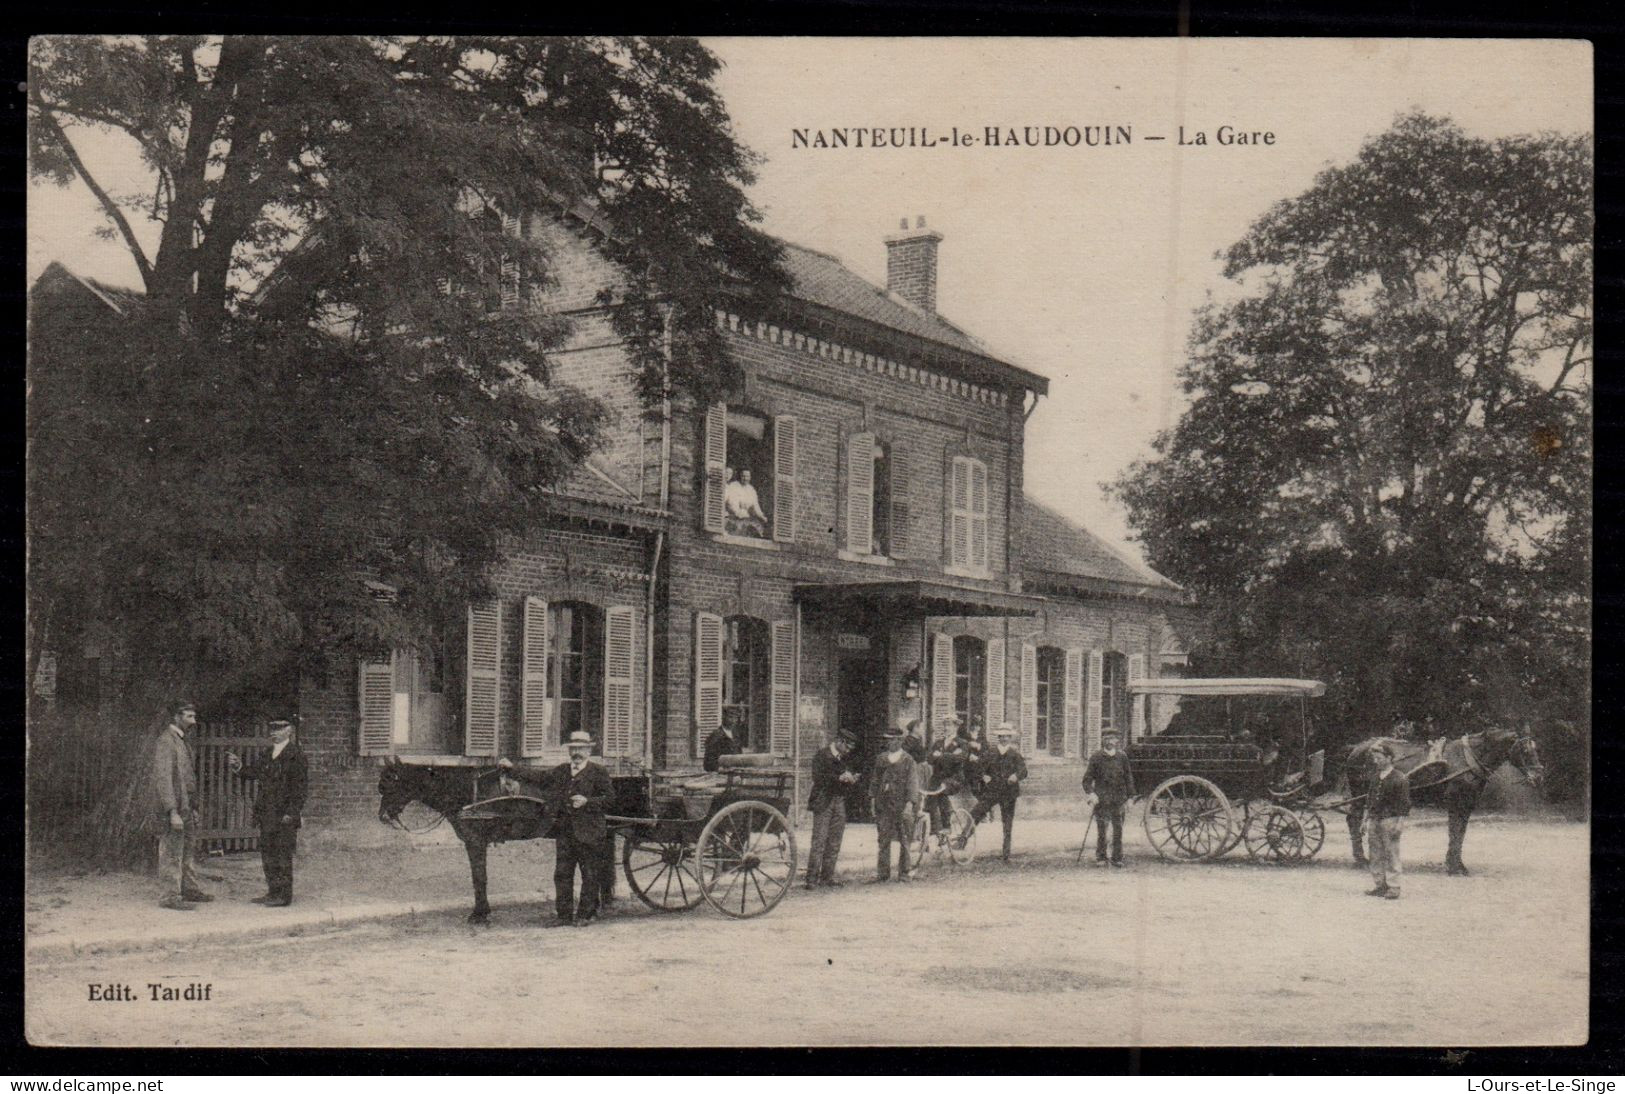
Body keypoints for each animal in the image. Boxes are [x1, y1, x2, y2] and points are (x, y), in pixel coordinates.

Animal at [373, 760, 614, 923]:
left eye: (393, 783)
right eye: (382, 785)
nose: (383, 816)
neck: (467, 792)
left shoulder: (475, 841)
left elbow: (479, 878)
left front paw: (479, 914)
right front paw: (482, 912)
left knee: (592, 870)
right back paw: (593, 909)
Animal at [1339, 728, 1540, 877]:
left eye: (1535, 749)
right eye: (1525, 751)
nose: (1539, 775)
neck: (1466, 760)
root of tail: (1357, 748)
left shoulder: (1467, 805)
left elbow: (1460, 834)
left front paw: (1457, 864)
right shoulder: (1455, 803)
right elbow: (1454, 833)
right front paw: (1454, 867)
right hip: (1362, 794)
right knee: (1354, 820)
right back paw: (1361, 859)